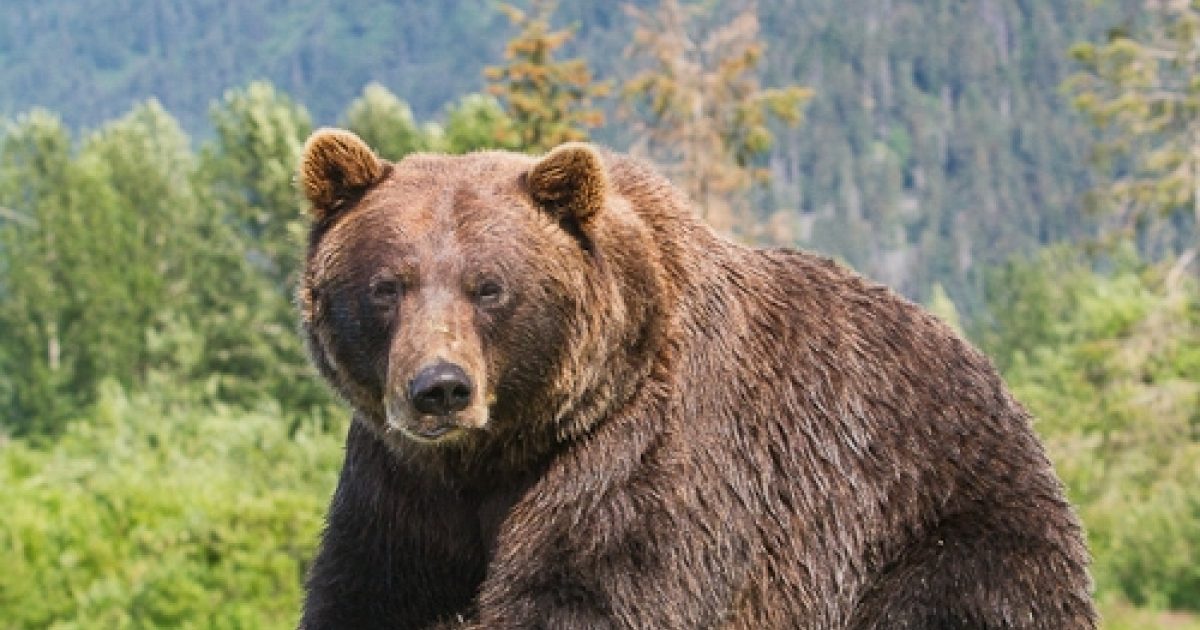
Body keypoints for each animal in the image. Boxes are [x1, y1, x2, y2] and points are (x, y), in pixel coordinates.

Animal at [292, 129, 1099, 628]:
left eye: (490, 286)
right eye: (386, 286)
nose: (440, 388)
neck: (500, 452)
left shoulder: (647, 454)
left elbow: (594, 589)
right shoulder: (402, 485)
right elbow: (370, 590)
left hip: (941, 521)